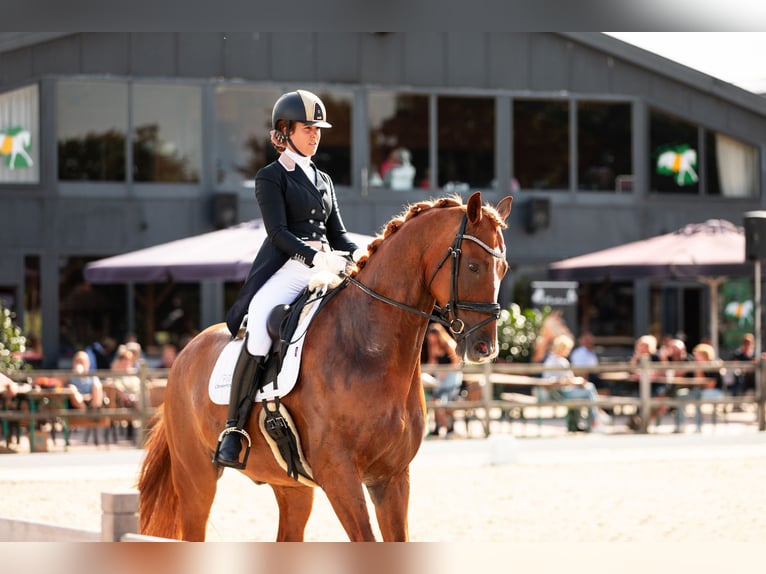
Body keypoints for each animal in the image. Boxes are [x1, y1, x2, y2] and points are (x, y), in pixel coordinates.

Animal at [137, 194, 512, 544]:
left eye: (504, 268)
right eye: (474, 266)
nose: (485, 347)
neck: (368, 348)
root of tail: (186, 353)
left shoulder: (392, 477)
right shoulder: (339, 474)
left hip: (291, 486)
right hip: (196, 478)